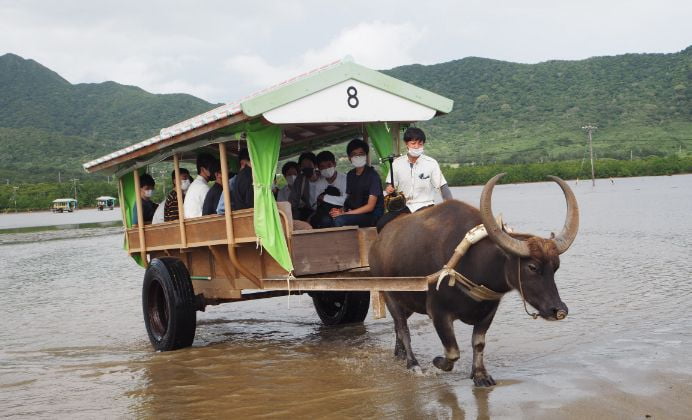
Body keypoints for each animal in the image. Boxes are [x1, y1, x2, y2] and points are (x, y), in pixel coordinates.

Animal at [368, 174, 580, 388]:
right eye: (532, 267)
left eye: (556, 267)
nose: (558, 310)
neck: (474, 263)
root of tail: (377, 243)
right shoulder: (438, 312)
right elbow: (452, 352)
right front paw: (437, 362)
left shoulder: (488, 311)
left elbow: (478, 343)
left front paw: (480, 375)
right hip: (389, 295)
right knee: (403, 328)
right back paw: (413, 363)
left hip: (408, 301)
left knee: (398, 327)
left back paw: (400, 354)